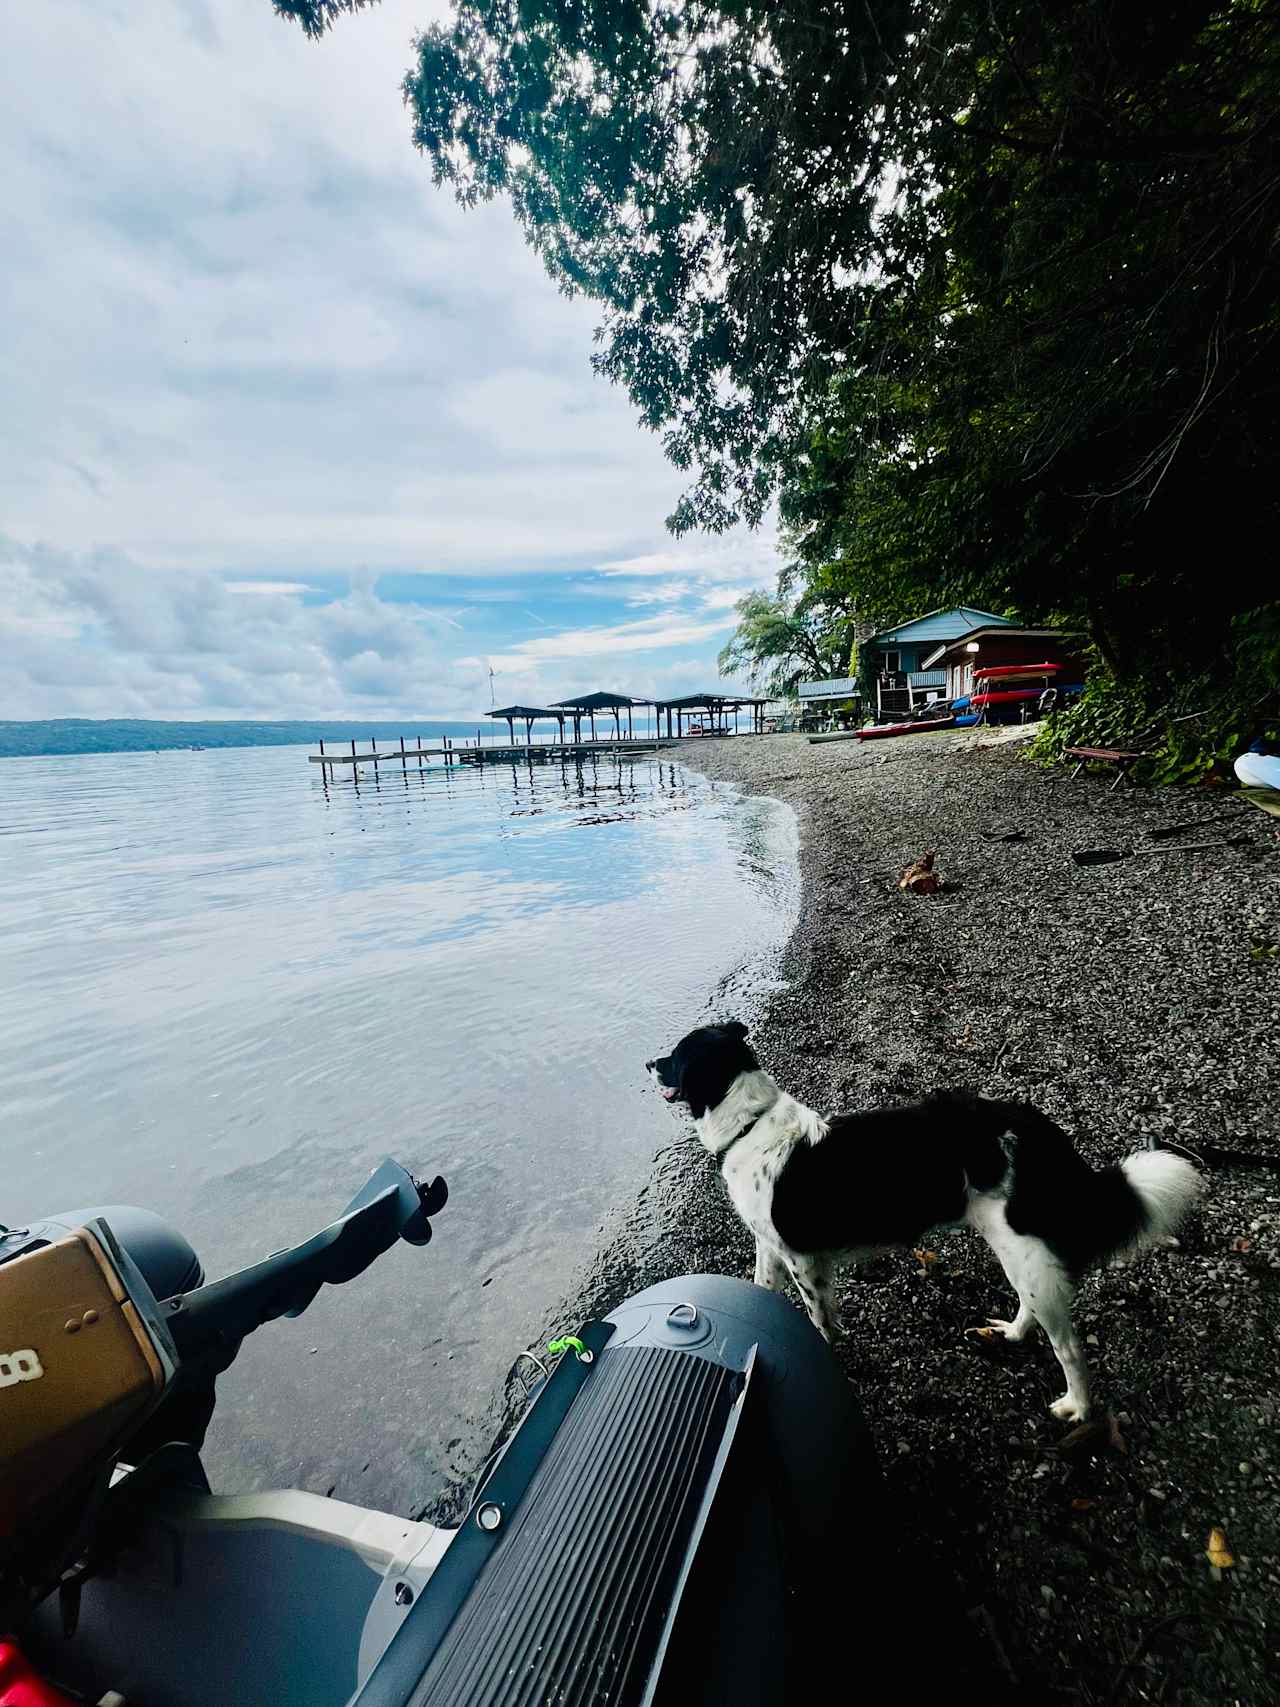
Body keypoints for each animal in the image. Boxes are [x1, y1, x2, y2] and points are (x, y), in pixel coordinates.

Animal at [645, 1017, 1208, 1420]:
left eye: (675, 1057)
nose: (649, 1062)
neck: (750, 1124)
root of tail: (1038, 1131)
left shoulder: (803, 1258)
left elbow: (819, 1317)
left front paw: (823, 1349)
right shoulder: (770, 1246)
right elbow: (763, 1290)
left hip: (1024, 1248)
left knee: (1069, 1346)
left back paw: (1078, 1407)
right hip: (1017, 1249)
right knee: (1034, 1307)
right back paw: (1012, 1334)